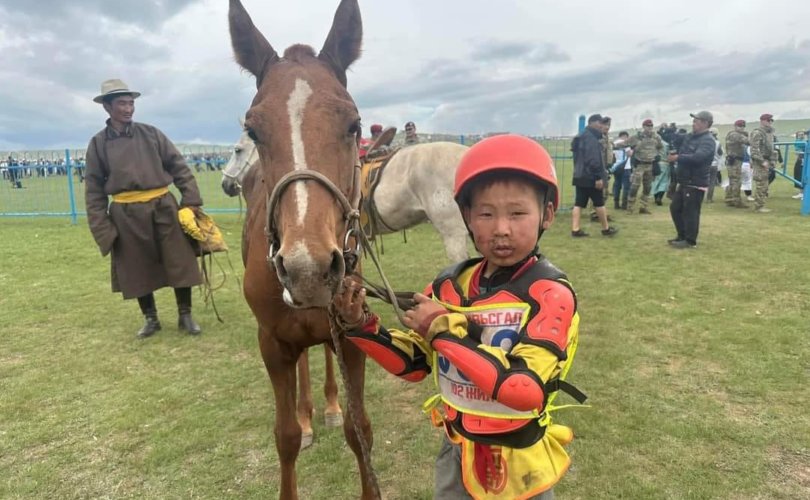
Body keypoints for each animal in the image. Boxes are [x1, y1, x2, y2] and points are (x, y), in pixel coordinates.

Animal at [230, 1, 376, 498]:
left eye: (353, 125)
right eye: (253, 131)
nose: (307, 269)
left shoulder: (351, 335)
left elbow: (359, 429)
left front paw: (340, 412)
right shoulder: (272, 344)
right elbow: (286, 436)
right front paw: (300, 423)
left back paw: (327, 406)